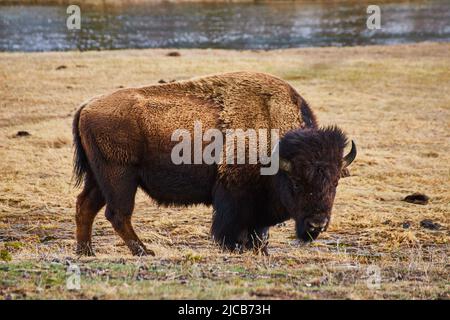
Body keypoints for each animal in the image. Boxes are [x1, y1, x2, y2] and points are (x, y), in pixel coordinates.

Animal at [73, 71, 356, 256]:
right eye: (296, 182)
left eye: (335, 182)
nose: (317, 225)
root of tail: (87, 106)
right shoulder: (234, 195)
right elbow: (233, 227)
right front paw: (235, 248)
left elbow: (259, 231)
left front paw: (259, 249)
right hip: (120, 177)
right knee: (118, 214)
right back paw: (144, 251)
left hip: (99, 178)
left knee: (85, 206)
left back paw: (86, 251)